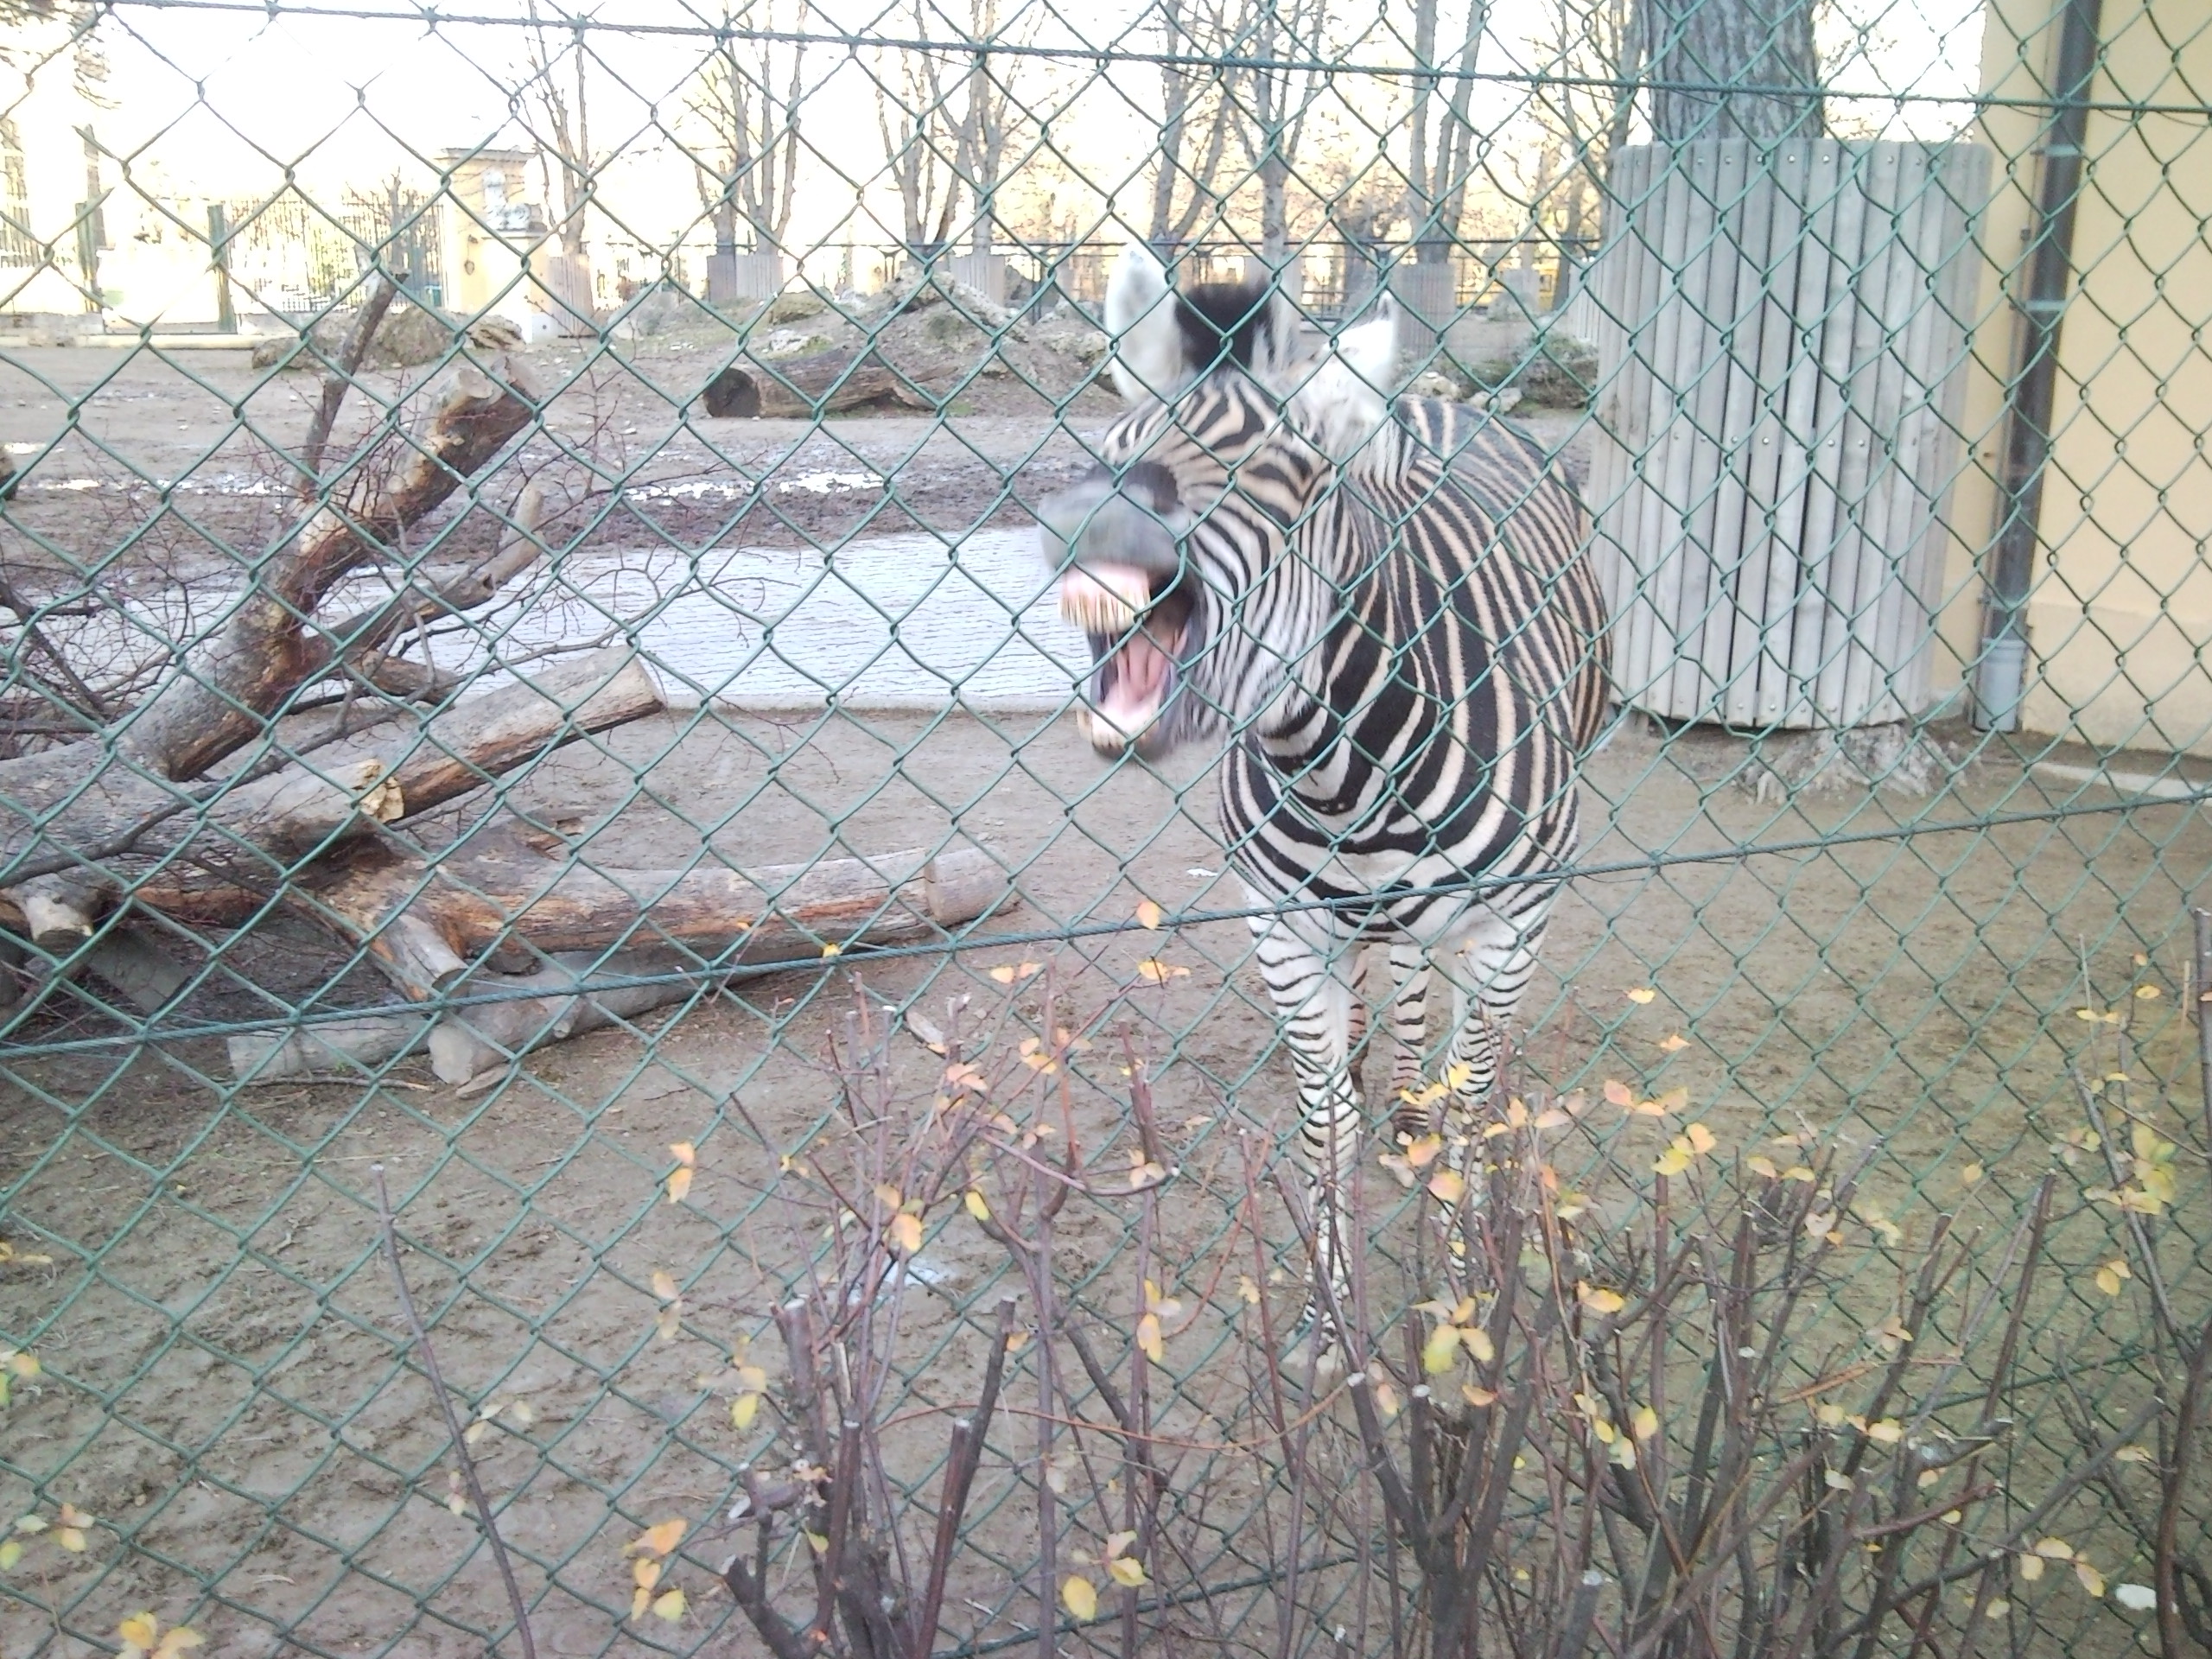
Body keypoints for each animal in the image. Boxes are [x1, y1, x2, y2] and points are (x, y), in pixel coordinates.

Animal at [1035, 243, 1610, 1336]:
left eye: (1288, 480)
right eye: (1109, 445)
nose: (1091, 517)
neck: (1341, 776)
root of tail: (1425, 400)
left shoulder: (1516, 919)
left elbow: (1473, 1097)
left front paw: (1460, 1291)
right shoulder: (1280, 927)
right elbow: (1323, 1118)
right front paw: (1326, 1313)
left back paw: (1415, 1104)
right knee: (1396, 976)